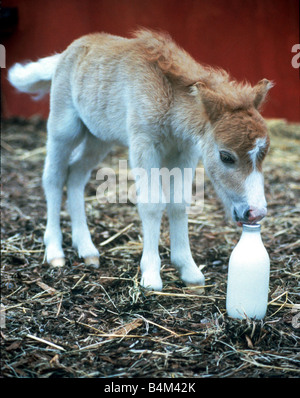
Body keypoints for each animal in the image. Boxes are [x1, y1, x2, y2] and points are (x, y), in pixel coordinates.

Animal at [8, 28, 272, 290]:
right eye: (226, 156)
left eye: (264, 154)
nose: (255, 213)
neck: (169, 99)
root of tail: (66, 51)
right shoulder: (144, 145)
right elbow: (152, 204)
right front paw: (152, 276)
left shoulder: (185, 151)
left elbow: (179, 203)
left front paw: (188, 270)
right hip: (64, 127)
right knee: (53, 177)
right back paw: (55, 251)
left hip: (98, 138)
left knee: (76, 176)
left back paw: (87, 249)